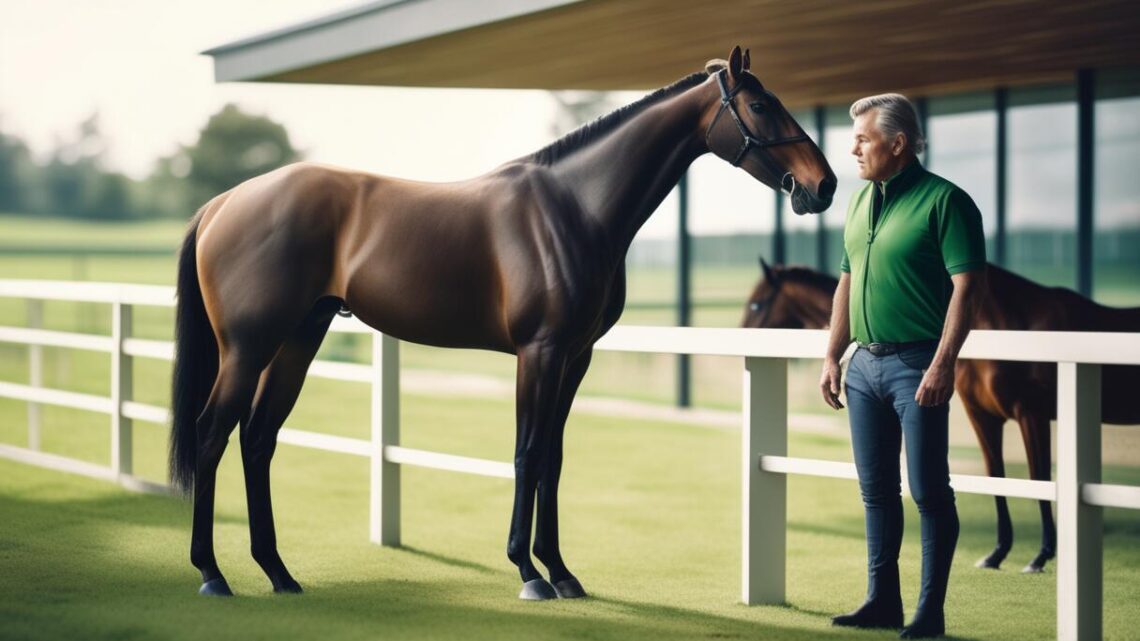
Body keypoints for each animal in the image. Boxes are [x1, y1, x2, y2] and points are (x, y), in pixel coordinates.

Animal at [168, 47, 837, 600]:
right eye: (760, 105)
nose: (824, 184)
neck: (575, 207)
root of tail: (223, 203)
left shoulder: (574, 357)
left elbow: (554, 460)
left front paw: (562, 571)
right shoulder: (539, 353)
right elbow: (527, 452)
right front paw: (528, 571)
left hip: (297, 340)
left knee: (258, 439)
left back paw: (278, 572)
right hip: (247, 348)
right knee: (211, 434)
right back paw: (212, 573)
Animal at [741, 258, 1140, 572]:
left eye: (758, 304)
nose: (739, 339)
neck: (1005, 320)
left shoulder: (1032, 415)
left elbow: (1038, 480)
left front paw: (1040, 556)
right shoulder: (983, 417)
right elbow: (996, 477)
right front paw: (997, 553)